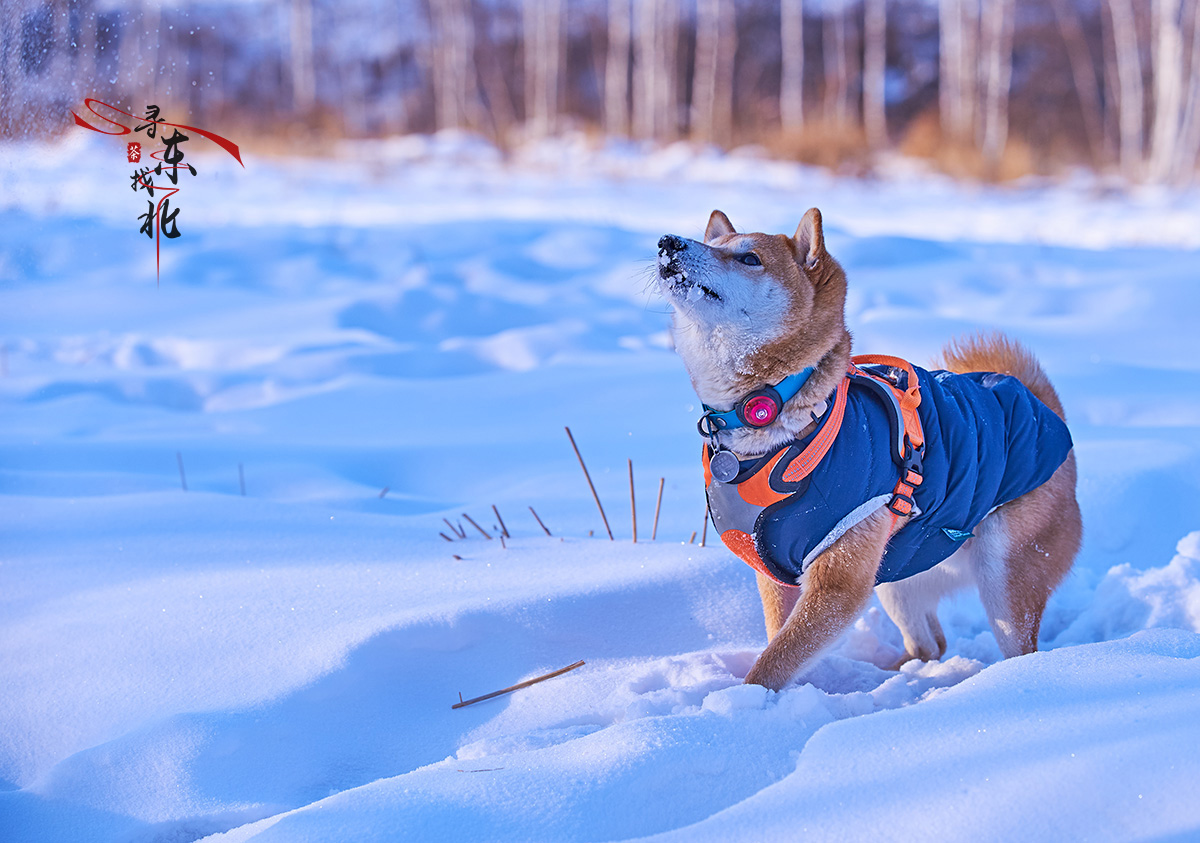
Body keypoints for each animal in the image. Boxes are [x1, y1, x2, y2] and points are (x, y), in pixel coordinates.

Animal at [662, 207, 1084, 691]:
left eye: (749, 258)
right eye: (715, 243)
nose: (668, 242)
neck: (772, 415)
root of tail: (1041, 407)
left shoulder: (838, 582)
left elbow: (772, 664)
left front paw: (741, 702)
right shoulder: (776, 572)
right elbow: (778, 640)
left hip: (1004, 580)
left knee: (1018, 650)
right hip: (897, 573)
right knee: (929, 645)